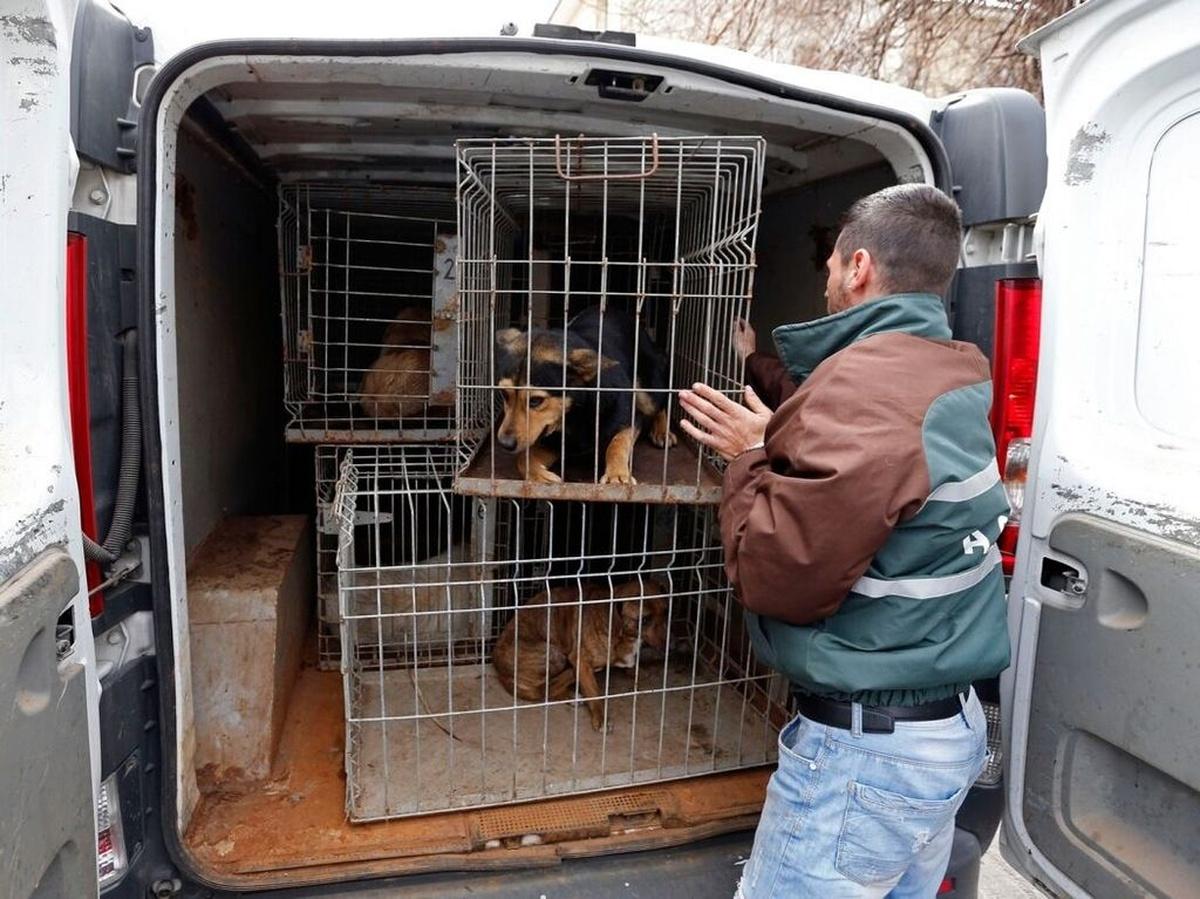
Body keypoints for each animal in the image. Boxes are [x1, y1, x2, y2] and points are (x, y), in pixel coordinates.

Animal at [489, 304, 676, 484]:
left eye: (535, 400)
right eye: (504, 394)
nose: (504, 444)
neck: (576, 411)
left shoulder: (629, 418)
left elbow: (617, 443)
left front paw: (617, 474)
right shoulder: (555, 442)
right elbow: (522, 459)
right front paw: (539, 475)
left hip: (649, 392)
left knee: (660, 403)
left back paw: (662, 431)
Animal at [492, 578, 672, 734]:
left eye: (666, 611)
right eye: (644, 619)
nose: (670, 645)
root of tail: (501, 673)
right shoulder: (581, 660)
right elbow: (594, 693)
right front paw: (601, 720)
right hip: (554, 654)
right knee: (546, 688)